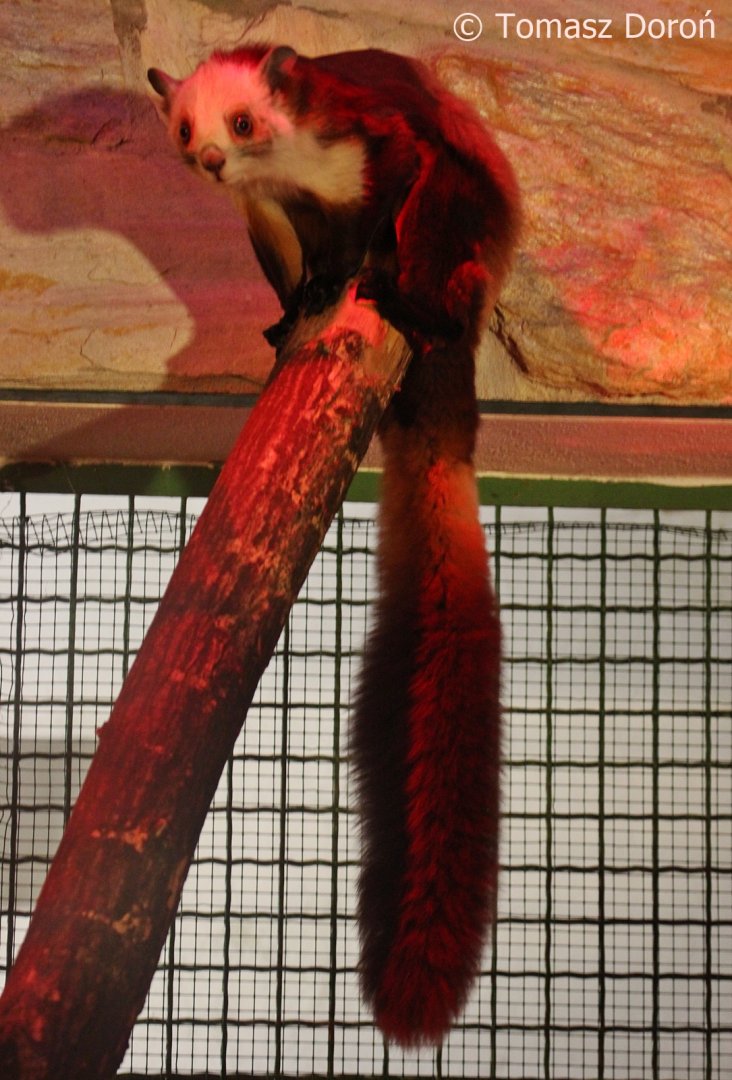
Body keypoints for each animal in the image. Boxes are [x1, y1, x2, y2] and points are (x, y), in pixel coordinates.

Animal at [149, 43, 519, 1046]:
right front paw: (309, 300)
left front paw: (371, 269)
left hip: (463, 236)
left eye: (243, 121)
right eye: (186, 129)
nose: (210, 163)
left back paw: (413, 307)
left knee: (436, 238)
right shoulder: (279, 212)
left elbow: (396, 192)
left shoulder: (376, 147)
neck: (290, 170)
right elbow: (309, 256)